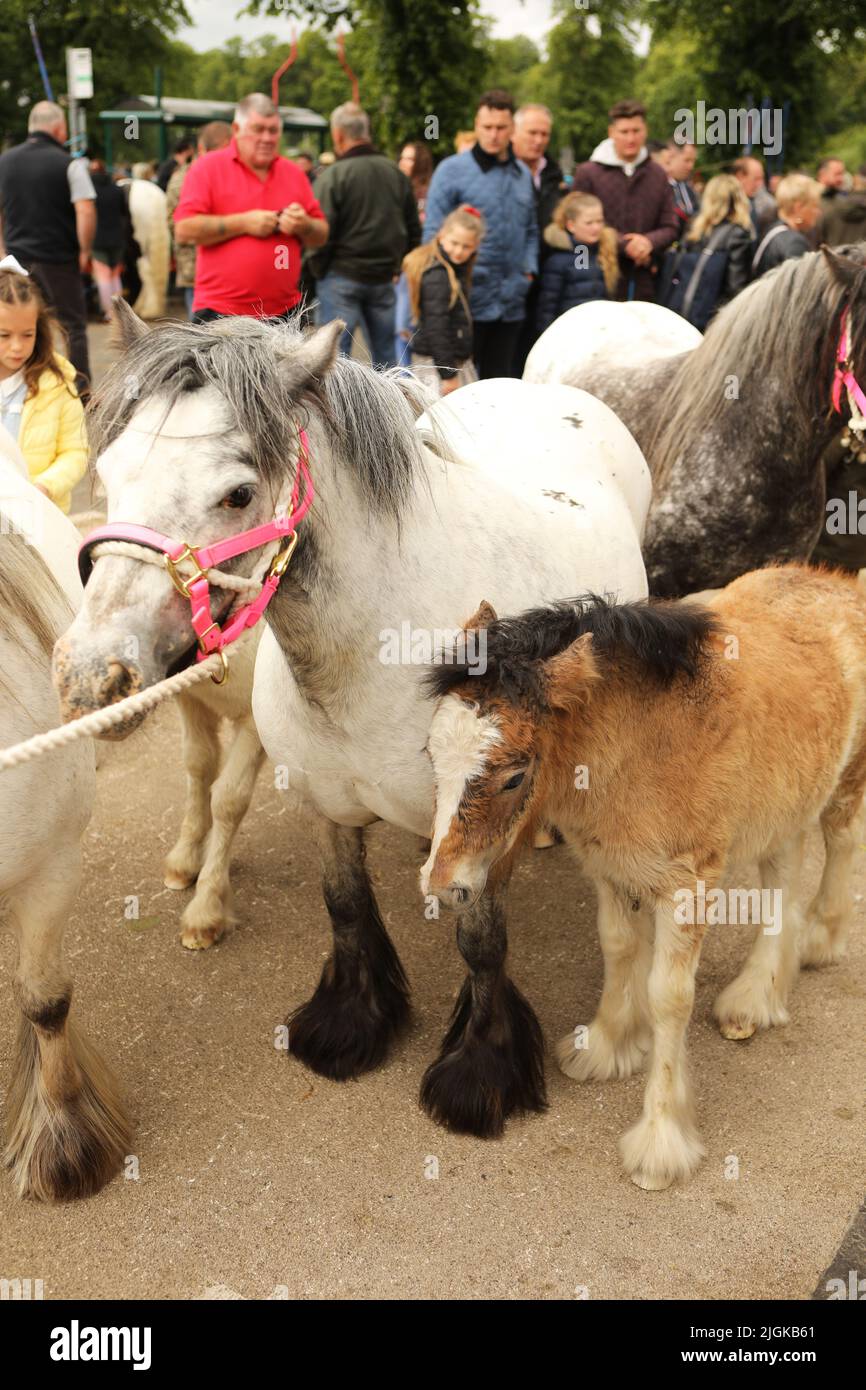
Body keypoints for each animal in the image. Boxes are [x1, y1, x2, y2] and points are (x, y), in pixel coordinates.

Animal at [52, 309, 650, 1145]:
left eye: (238, 494)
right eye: (106, 476)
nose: (91, 677)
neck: (377, 651)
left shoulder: (470, 816)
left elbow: (481, 942)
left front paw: (479, 1074)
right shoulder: (327, 804)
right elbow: (345, 906)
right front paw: (350, 1025)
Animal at [422, 569, 866, 1189]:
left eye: (514, 776)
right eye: (430, 754)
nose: (444, 885)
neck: (641, 747)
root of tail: (841, 584)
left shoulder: (687, 885)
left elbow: (668, 997)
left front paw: (660, 1142)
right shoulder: (610, 866)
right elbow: (618, 947)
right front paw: (604, 1048)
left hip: (846, 780)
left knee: (842, 838)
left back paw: (821, 942)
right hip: (784, 798)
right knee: (783, 868)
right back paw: (757, 996)